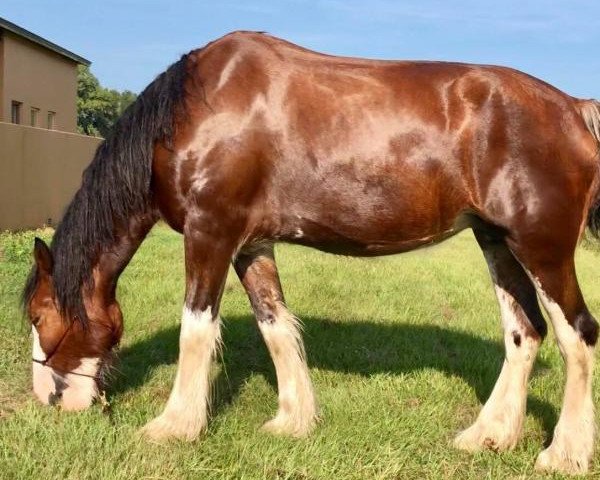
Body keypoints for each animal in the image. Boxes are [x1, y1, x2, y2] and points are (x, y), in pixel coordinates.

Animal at [21, 31, 600, 474]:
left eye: (38, 315)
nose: (48, 400)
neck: (198, 110)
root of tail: (574, 108)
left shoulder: (210, 232)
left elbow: (197, 330)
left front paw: (173, 426)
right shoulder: (251, 246)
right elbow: (275, 326)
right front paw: (292, 420)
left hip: (542, 246)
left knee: (577, 334)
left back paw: (563, 454)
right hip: (495, 240)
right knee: (525, 331)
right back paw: (489, 434)